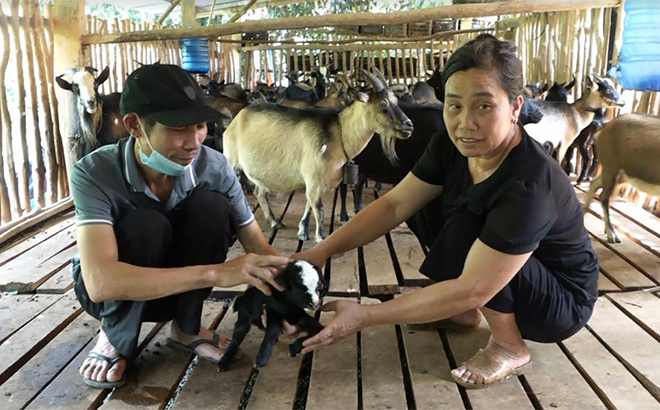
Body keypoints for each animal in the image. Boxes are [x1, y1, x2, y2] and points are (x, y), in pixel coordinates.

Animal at [224, 69, 416, 242]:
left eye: (396, 100)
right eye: (382, 104)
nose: (409, 125)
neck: (338, 134)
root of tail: (238, 118)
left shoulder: (316, 181)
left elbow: (310, 204)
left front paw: (302, 230)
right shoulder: (313, 177)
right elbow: (319, 208)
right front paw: (320, 236)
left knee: (259, 192)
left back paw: (274, 221)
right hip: (231, 160)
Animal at [584, 113, 660, 243]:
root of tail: (604, 128)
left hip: (619, 175)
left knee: (594, 183)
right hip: (611, 167)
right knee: (603, 197)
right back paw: (611, 235)